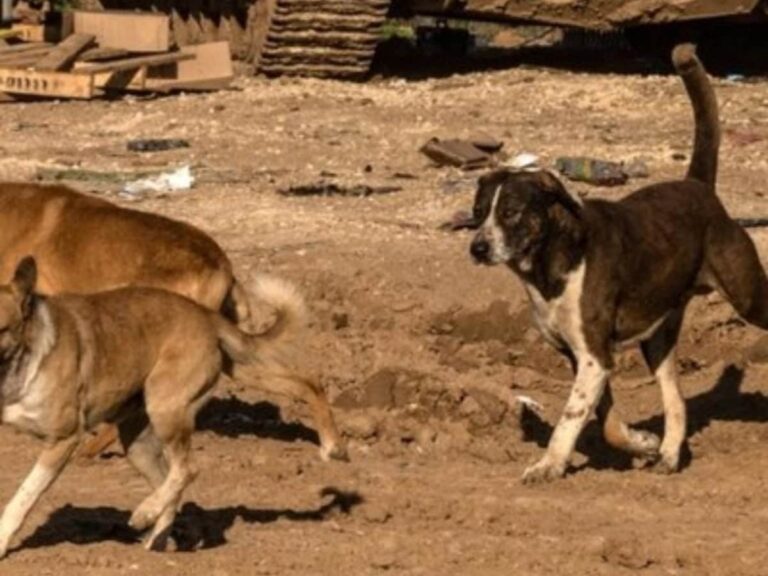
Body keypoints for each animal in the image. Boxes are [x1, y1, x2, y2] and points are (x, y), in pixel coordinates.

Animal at [0, 256, 312, 552]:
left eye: (1, 329)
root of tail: (206, 316)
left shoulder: (64, 438)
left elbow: (24, 494)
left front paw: (3, 540)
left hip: (165, 408)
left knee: (188, 469)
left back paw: (144, 514)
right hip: (138, 445)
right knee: (170, 482)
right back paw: (155, 541)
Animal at [464, 45, 768, 482]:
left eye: (511, 212)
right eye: (477, 212)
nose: (478, 248)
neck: (552, 263)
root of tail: (698, 187)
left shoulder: (594, 356)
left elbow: (569, 419)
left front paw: (549, 464)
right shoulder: (584, 357)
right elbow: (605, 422)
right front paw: (641, 442)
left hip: (748, 298)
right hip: (657, 339)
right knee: (676, 400)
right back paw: (669, 454)